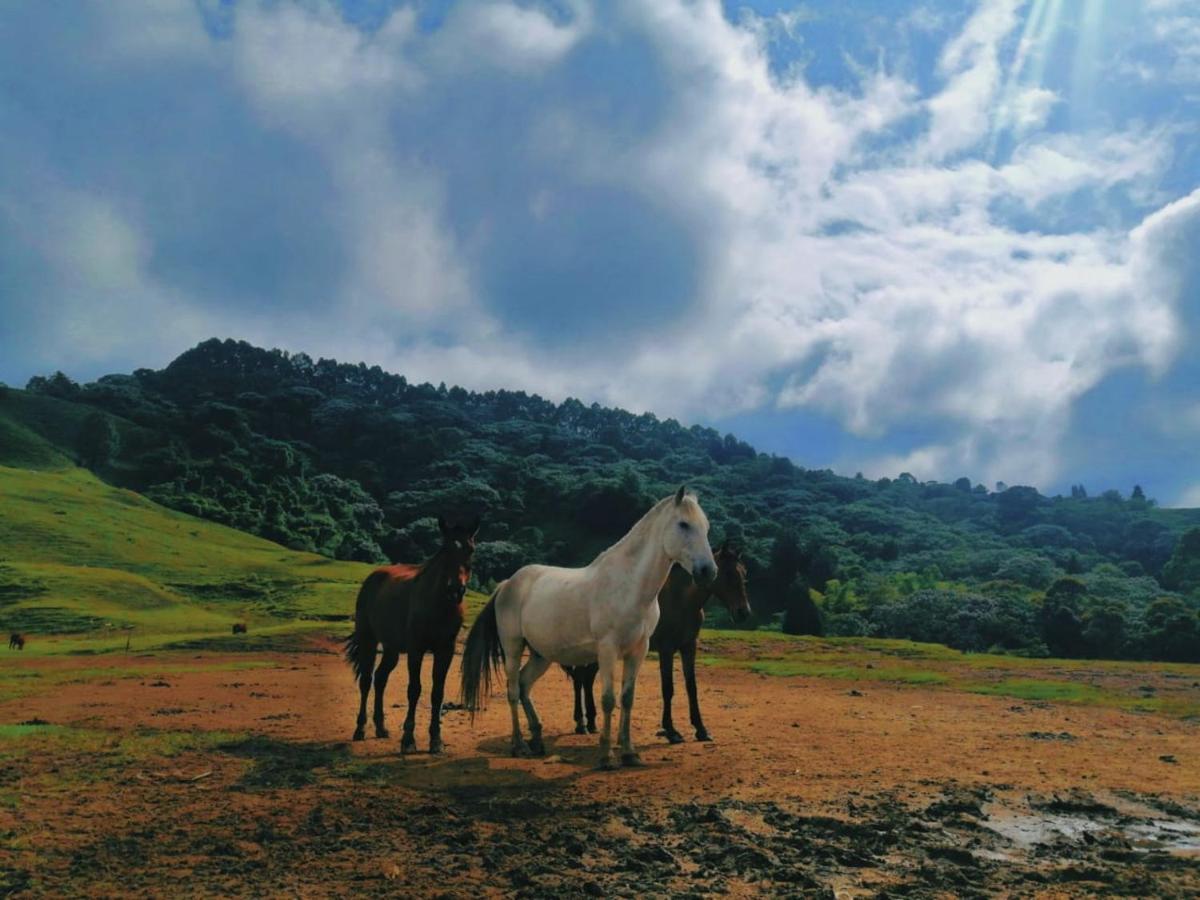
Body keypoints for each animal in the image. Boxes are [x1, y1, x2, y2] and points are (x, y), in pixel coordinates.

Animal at [345, 518, 475, 748]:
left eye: (471, 550)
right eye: (445, 549)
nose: (455, 590)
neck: (438, 604)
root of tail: (373, 578)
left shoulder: (446, 650)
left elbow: (437, 692)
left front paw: (436, 739)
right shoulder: (416, 649)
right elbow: (414, 689)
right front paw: (408, 738)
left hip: (391, 649)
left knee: (380, 679)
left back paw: (381, 727)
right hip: (369, 640)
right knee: (366, 681)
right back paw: (360, 729)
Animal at [458, 489, 710, 772]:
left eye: (706, 527)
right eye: (684, 524)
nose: (708, 570)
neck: (629, 586)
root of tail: (506, 584)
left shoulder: (639, 650)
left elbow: (627, 698)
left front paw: (629, 754)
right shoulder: (608, 650)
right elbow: (609, 700)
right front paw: (606, 756)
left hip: (540, 655)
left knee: (524, 685)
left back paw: (537, 739)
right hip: (513, 648)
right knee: (513, 692)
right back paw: (519, 745)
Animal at [564, 547, 748, 744]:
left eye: (744, 573)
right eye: (727, 573)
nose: (743, 612)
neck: (682, 600)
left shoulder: (689, 647)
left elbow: (692, 687)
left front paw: (701, 729)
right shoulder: (666, 650)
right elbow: (668, 688)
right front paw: (671, 731)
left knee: (587, 679)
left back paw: (591, 722)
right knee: (579, 679)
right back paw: (581, 723)